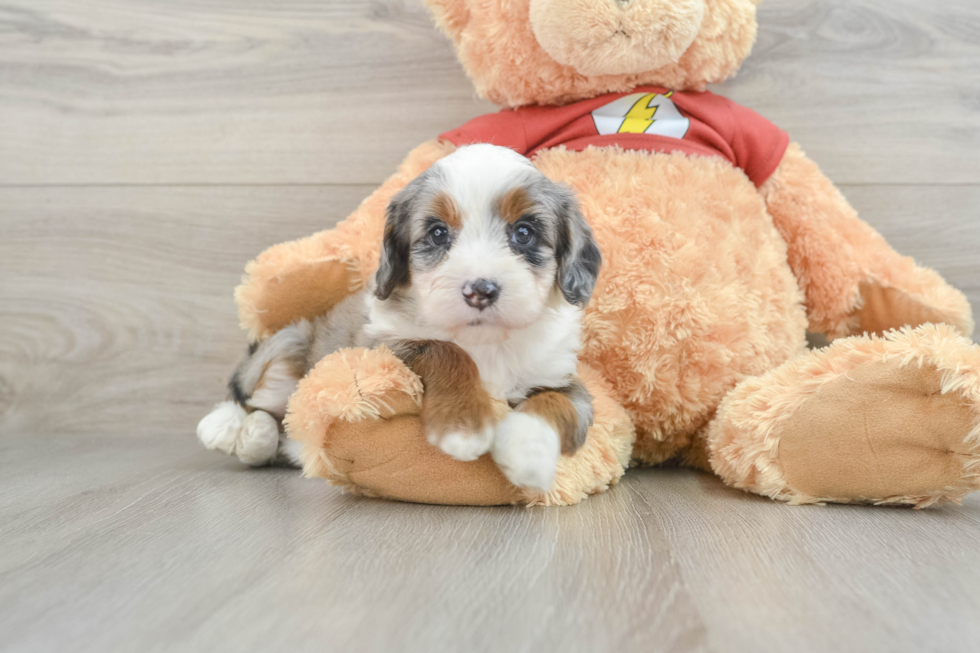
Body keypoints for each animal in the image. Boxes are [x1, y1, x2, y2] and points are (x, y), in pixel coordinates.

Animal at [196, 143, 600, 488]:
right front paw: (463, 424)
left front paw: (529, 451)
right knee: (260, 404)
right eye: (438, 233)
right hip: (289, 342)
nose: (480, 290)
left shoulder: (560, 376)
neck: (484, 342)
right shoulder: (380, 347)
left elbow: (559, 402)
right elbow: (444, 349)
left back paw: (256, 437)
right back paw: (227, 427)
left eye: (524, 232)